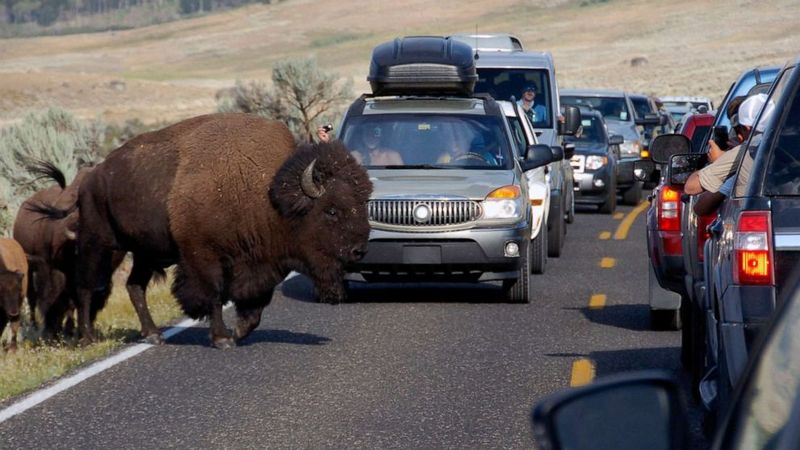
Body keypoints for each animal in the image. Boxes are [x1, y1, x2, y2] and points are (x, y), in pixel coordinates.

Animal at [38, 113, 372, 348]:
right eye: (331, 210)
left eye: (362, 203)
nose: (359, 250)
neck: (267, 195)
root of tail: (91, 177)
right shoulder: (203, 257)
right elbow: (214, 295)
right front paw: (223, 338)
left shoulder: (259, 264)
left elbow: (255, 307)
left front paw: (238, 332)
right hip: (100, 244)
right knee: (85, 286)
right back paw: (87, 338)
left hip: (145, 253)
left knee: (134, 286)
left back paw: (153, 335)